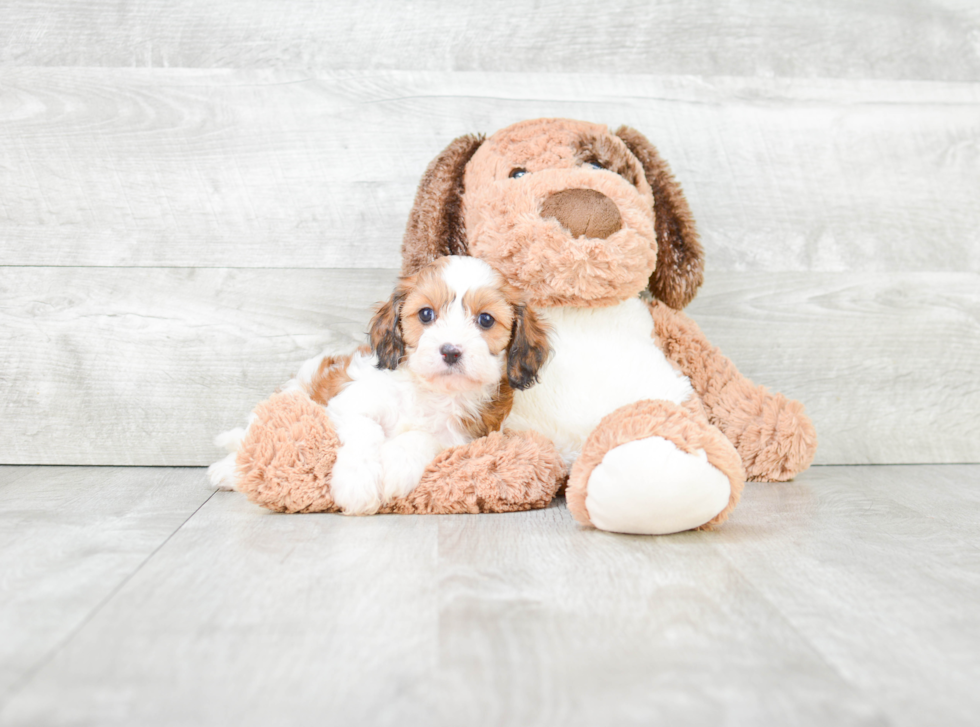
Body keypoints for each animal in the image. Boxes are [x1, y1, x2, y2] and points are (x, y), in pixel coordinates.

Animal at [209, 258, 552, 516]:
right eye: (426, 314)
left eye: (486, 320)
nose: (451, 351)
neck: (429, 392)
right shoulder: (348, 404)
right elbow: (367, 429)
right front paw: (357, 484)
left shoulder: (466, 436)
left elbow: (423, 437)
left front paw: (396, 466)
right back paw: (225, 470)